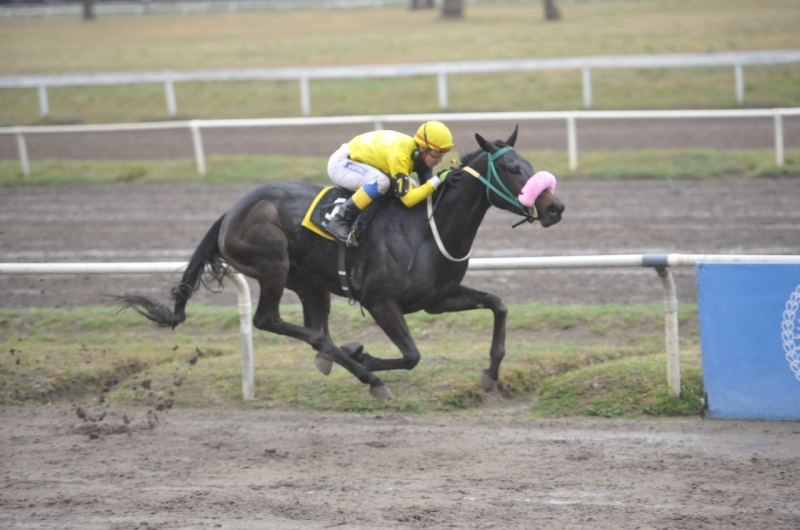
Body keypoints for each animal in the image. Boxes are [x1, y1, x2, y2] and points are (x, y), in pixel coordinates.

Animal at [117, 128, 564, 398]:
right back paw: (362, 370)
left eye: (528, 164)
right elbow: (411, 355)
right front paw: (368, 362)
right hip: (272, 264)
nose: (555, 207)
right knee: (272, 321)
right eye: (511, 168)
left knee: (314, 327)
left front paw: (491, 373)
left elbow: (498, 304)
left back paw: (335, 355)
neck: (426, 229)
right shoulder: (381, 301)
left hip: (309, 282)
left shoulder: (439, 298)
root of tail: (231, 212)